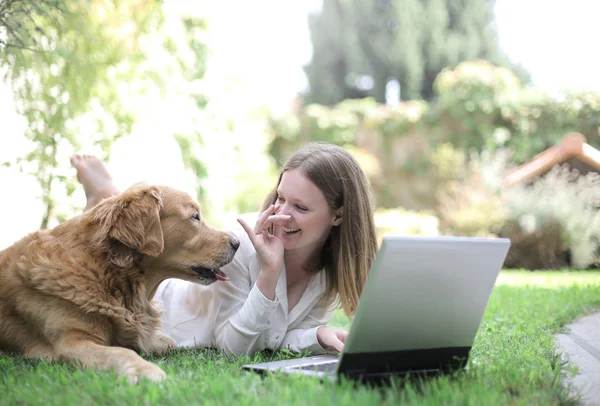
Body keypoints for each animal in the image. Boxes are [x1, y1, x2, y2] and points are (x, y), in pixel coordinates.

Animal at [0, 184, 239, 384]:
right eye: (195, 217)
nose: (237, 242)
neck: (108, 273)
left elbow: (166, 341)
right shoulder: (70, 342)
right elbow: (121, 351)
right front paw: (145, 370)